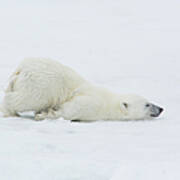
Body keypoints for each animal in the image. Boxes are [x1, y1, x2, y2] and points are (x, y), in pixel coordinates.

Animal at [0, 58, 164, 121]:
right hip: (40, 84)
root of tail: (21, 68)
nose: (161, 108)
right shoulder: (91, 103)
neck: (110, 103)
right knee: (28, 99)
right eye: (147, 104)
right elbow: (71, 109)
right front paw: (46, 114)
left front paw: (43, 113)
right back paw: (11, 112)